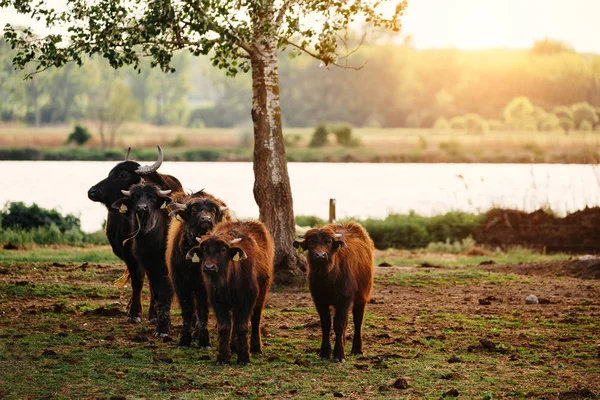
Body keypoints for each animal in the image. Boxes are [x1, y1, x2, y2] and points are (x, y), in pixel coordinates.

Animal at [85, 145, 182, 324]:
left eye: (122, 174)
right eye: (110, 172)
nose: (92, 192)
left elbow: (152, 282)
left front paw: (153, 314)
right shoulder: (129, 254)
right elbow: (137, 281)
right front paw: (134, 313)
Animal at [169, 189, 234, 348]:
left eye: (213, 210)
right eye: (194, 209)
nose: (206, 219)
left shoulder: (205, 287)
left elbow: (203, 311)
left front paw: (204, 341)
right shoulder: (181, 284)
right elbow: (187, 310)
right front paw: (184, 340)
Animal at [185, 220, 274, 368]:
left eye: (222, 250)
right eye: (205, 250)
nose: (209, 267)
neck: (228, 280)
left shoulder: (247, 300)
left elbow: (242, 326)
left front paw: (244, 357)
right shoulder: (218, 302)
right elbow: (225, 327)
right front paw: (223, 357)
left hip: (261, 294)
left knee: (255, 319)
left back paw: (256, 348)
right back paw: (233, 347)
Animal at [292, 222, 372, 362]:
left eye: (329, 241)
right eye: (311, 242)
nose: (320, 255)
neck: (327, 277)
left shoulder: (344, 299)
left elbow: (339, 324)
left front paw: (339, 354)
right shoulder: (319, 300)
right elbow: (326, 323)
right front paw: (325, 352)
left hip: (362, 295)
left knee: (358, 320)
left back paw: (357, 349)